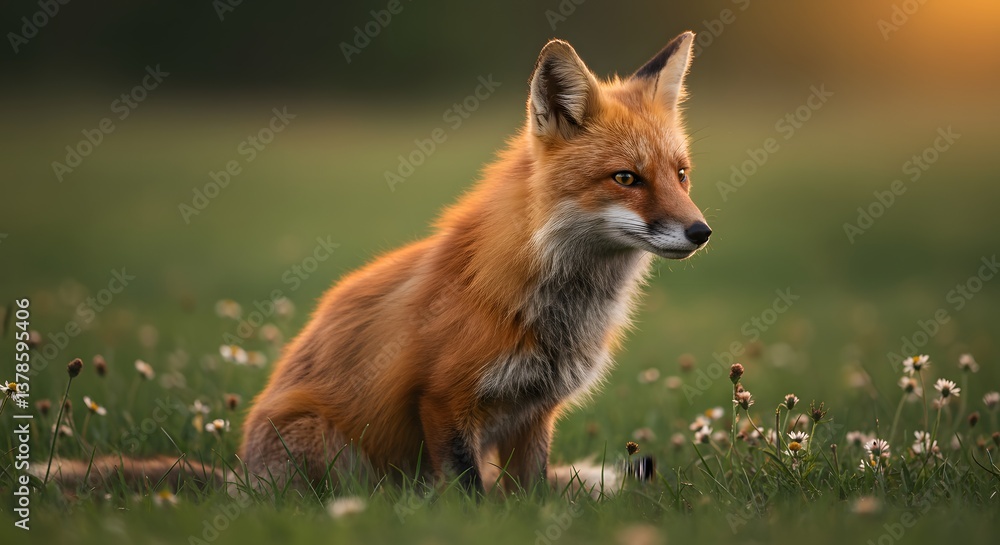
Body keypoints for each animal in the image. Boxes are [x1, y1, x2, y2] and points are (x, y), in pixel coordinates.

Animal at [44, 32, 712, 496]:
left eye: (680, 175)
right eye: (626, 179)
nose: (701, 232)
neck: (555, 297)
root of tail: (239, 477)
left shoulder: (534, 414)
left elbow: (527, 498)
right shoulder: (443, 400)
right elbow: (473, 497)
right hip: (331, 449)